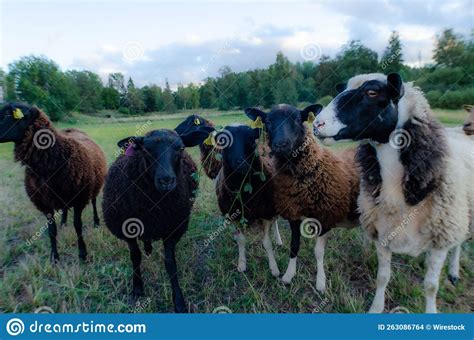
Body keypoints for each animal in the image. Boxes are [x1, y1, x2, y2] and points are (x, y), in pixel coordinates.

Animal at [0, 102, 107, 262]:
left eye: (7, 114)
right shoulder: (44, 204)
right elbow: (52, 231)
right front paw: (54, 257)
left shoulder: (79, 199)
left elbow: (78, 226)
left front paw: (82, 253)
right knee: (64, 209)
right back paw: (63, 222)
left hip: (93, 186)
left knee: (93, 202)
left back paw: (96, 222)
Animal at [244, 103, 360, 290]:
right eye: (268, 121)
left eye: (298, 119)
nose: (281, 144)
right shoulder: (293, 213)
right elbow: (294, 245)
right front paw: (288, 275)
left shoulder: (326, 215)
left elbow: (318, 252)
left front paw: (320, 282)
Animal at [312, 72, 472, 314]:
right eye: (342, 89)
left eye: (372, 92)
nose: (317, 124)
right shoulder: (382, 232)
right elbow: (383, 277)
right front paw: (376, 308)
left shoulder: (440, 238)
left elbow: (431, 286)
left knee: (458, 243)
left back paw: (453, 272)